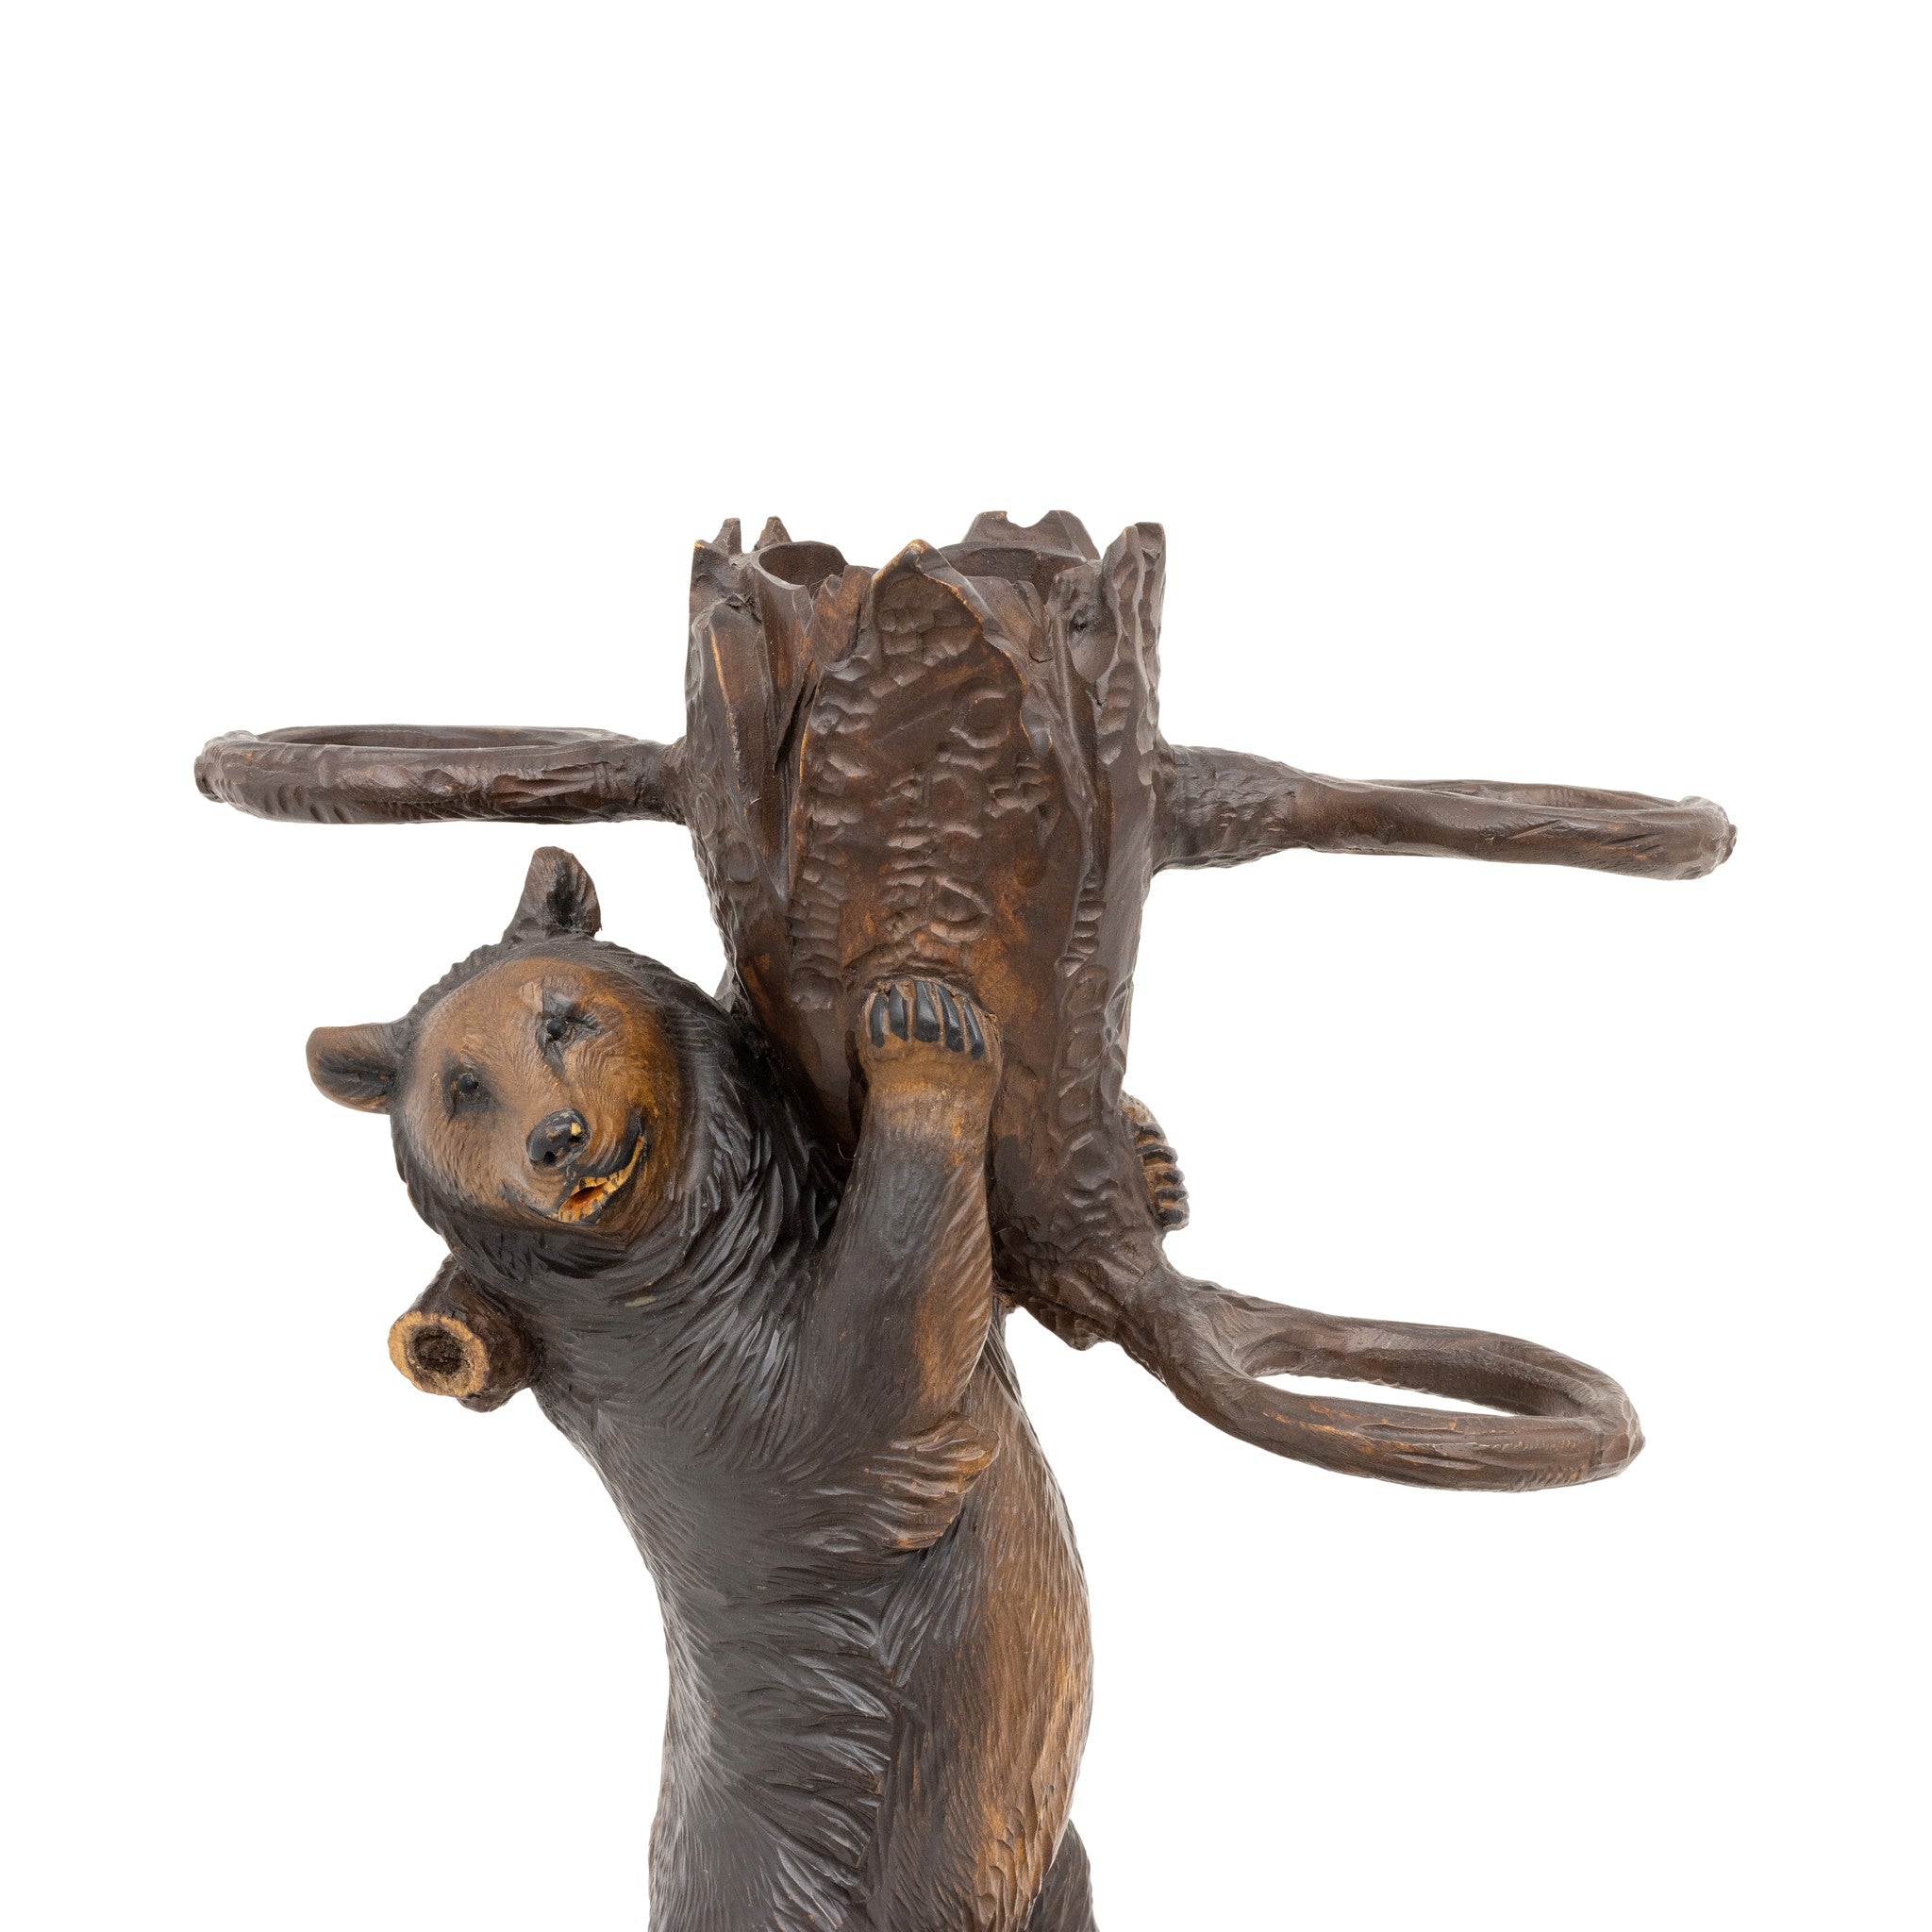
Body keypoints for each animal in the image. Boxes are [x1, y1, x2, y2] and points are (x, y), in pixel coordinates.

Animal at [307, 846, 1098, 1932]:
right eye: (463, 1084)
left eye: (564, 1019)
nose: (556, 1139)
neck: (695, 1244)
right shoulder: (729, 1408)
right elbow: (889, 1340)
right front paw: (923, 1029)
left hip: (1049, 1872)